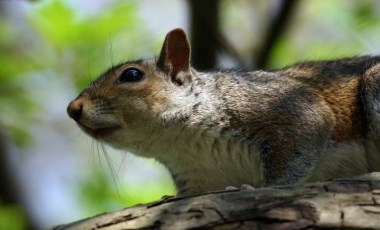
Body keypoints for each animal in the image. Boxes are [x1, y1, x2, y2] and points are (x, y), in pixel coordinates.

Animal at [67, 28, 380, 194]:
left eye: (131, 75)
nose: (73, 109)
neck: (183, 143)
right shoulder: (198, 181)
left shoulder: (290, 108)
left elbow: (301, 143)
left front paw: (261, 188)